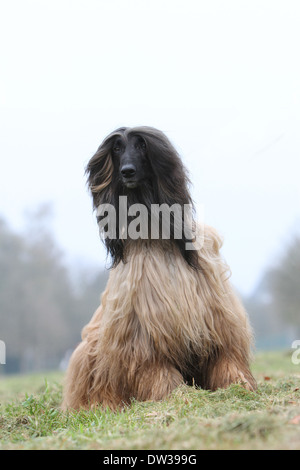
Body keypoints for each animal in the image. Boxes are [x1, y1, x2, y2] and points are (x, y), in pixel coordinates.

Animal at [62, 126, 256, 410]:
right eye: (116, 148)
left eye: (142, 145)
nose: (127, 172)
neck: (157, 236)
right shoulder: (144, 332)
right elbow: (157, 371)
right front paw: (175, 397)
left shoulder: (218, 318)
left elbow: (227, 358)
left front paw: (239, 387)